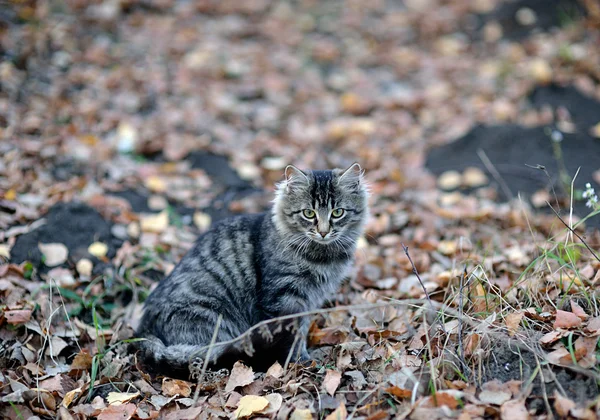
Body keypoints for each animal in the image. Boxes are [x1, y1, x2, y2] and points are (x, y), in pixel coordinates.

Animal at [135, 162, 368, 376]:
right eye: (309, 213)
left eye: (337, 212)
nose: (323, 232)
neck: (322, 256)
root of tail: (144, 331)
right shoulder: (283, 298)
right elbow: (290, 336)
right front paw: (297, 362)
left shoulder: (309, 301)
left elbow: (300, 330)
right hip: (215, 316)